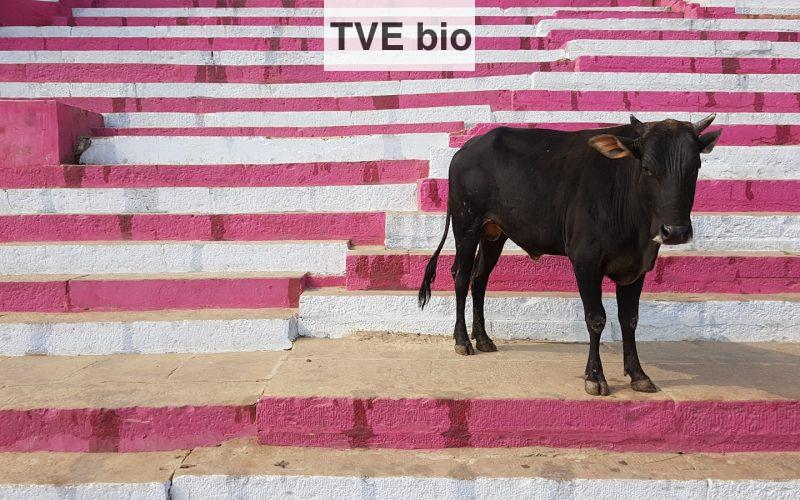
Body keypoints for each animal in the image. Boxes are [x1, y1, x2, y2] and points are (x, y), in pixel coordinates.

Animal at [418, 115, 722, 396]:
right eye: (647, 168)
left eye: (695, 167)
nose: (675, 231)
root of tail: (465, 150)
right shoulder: (585, 261)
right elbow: (596, 318)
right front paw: (595, 377)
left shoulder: (636, 268)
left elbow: (630, 320)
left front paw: (638, 374)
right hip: (466, 225)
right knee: (461, 275)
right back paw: (463, 341)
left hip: (494, 232)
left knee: (479, 279)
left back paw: (483, 339)